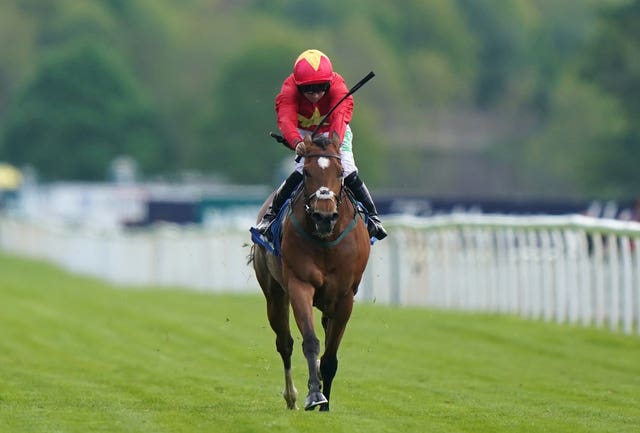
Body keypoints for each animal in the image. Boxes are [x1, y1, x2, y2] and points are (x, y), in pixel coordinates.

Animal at [250, 132, 370, 412]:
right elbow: (311, 342)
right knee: (284, 343)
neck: (326, 240)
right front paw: (315, 394)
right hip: (274, 294)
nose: (324, 216)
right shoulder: (299, 285)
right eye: (305, 173)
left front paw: (325, 403)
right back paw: (292, 396)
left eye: (340, 173)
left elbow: (330, 356)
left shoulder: (345, 296)